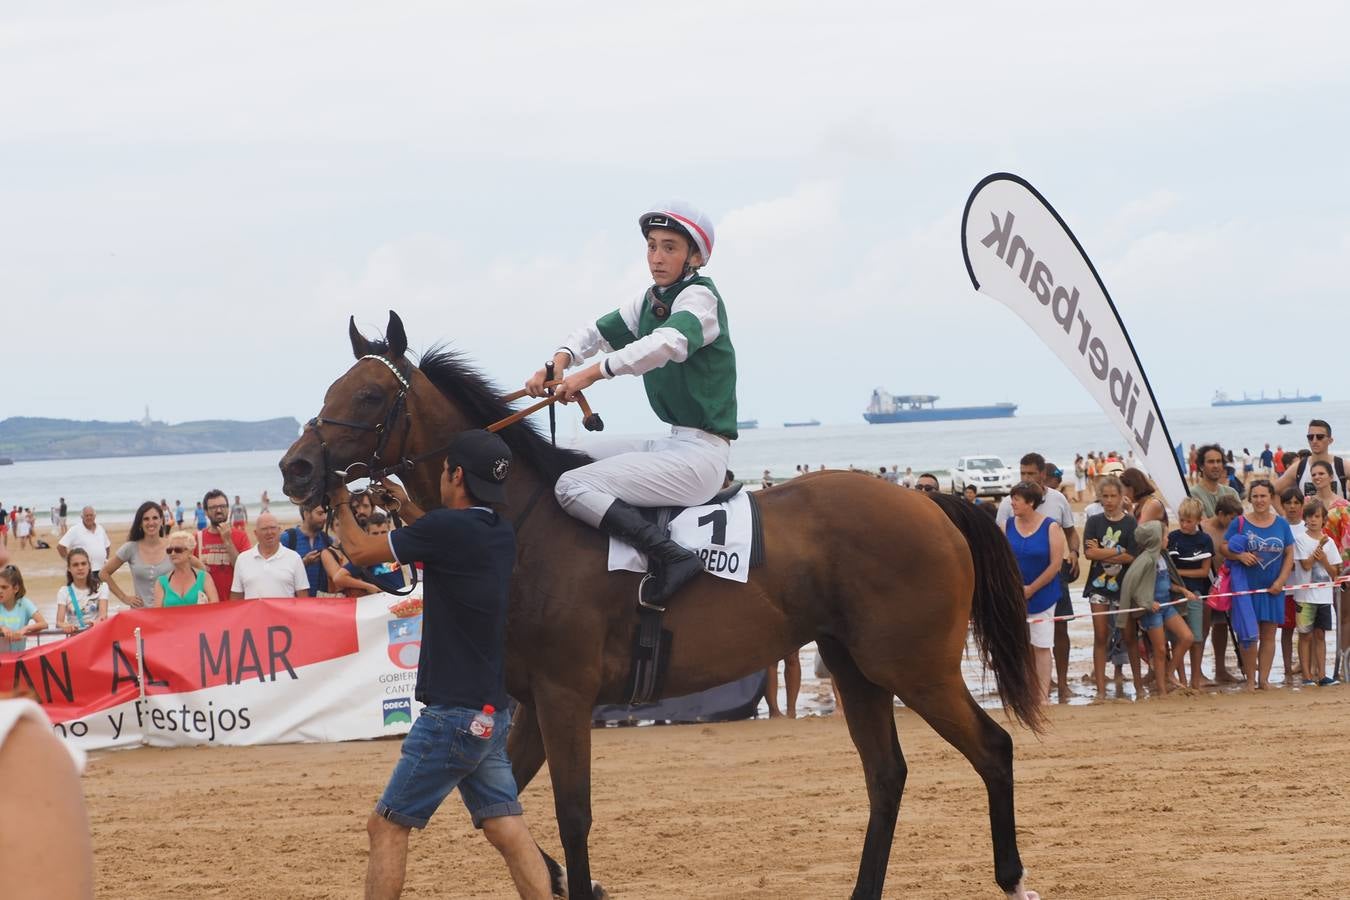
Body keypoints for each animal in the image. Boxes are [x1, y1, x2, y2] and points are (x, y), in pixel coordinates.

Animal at [282, 313, 1042, 895]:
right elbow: (512, 811)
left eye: (371, 395)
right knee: (886, 777)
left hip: (914, 666)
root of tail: (932, 503)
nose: (296, 467)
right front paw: (567, 878)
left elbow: (572, 813)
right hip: (856, 668)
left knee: (994, 748)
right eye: (333, 387)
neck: (521, 521)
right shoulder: (531, 701)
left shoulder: (564, 697)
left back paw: (1011, 875)